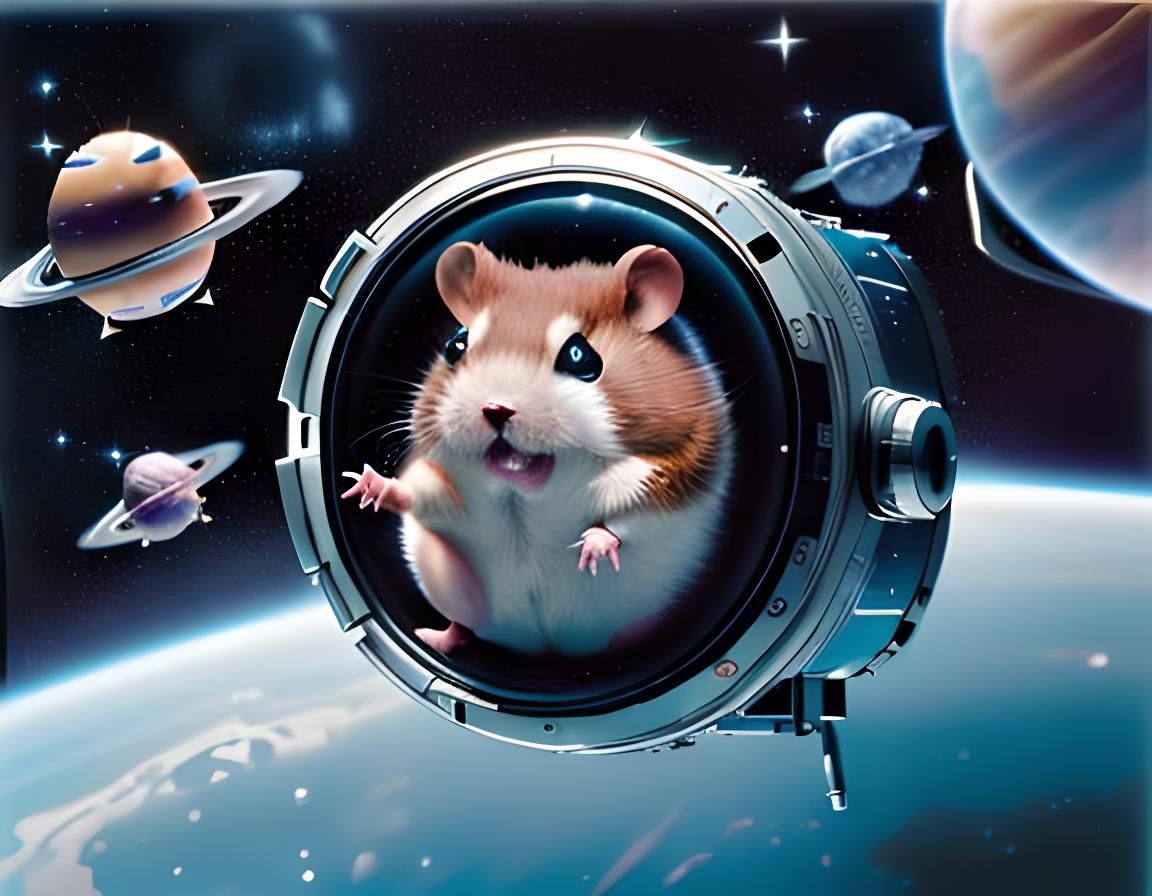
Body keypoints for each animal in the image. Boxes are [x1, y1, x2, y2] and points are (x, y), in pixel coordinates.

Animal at [341, 241, 733, 656]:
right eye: (456, 345)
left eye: (578, 355)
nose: (495, 408)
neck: (526, 496)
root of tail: (544, 646)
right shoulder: (443, 481)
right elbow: (414, 494)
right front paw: (367, 484)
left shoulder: (678, 464)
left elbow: (630, 511)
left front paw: (591, 548)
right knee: (464, 624)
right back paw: (433, 637)